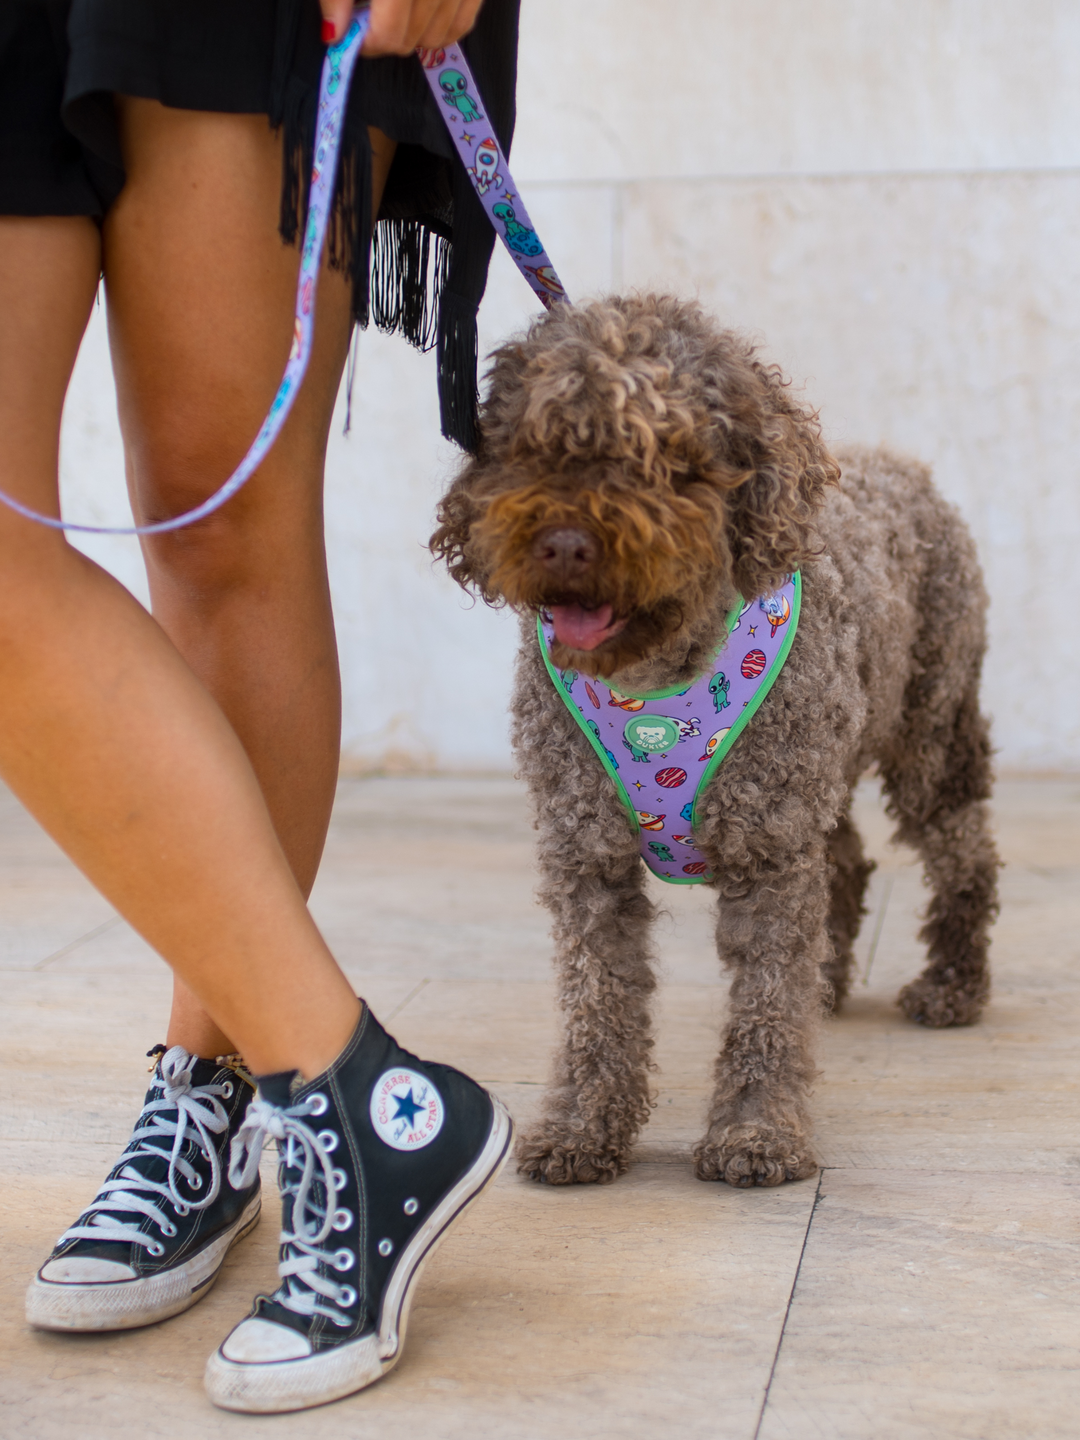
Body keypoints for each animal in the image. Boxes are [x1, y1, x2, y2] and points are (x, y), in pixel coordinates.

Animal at [429, 295, 996, 1192]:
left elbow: (765, 1003)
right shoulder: (586, 854)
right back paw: (831, 981)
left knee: (962, 845)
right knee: (846, 862)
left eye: (666, 459)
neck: (656, 678)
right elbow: (599, 999)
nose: (565, 543)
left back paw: (952, 983)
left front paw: (757, 1133)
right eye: (538, 448)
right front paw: (585, 1127)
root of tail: (907, 470)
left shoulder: (769, 855)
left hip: (926, 732)